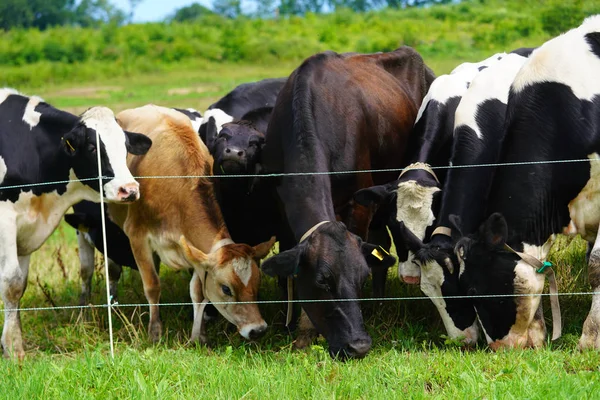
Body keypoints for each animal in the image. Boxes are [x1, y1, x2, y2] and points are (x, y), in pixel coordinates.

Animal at [0, 89, 152, 360]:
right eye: (92, 147)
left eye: (125, 147)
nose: (129, 190)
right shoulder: (6, 218)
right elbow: (11, 283)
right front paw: (14, 351)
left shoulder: (27, 231)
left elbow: (20, 284)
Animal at [108, 104, 276, 346]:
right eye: (226, 288)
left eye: (257, 283)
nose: (257, 330)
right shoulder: (137, 236)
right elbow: (152, 285)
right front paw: (155, 332)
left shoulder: (195, 250)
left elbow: (198, 293)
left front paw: (199, 335)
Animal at [255, 47, 434, 360]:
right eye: (322, 281)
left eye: (359, 278)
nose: (358, 345)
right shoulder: (282, 206)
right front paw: (297, 328)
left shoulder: (358, 202)